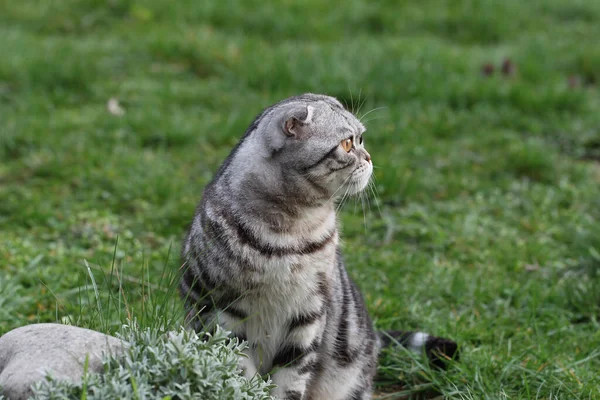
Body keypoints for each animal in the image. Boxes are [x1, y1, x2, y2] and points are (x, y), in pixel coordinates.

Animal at [180, 94, 458, 400]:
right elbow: (242, 373)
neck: (290, 233)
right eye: (348, 144)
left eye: (361, 139)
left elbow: (291, 378)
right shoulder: (220, 310)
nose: (369, 157)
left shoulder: (308, 313)